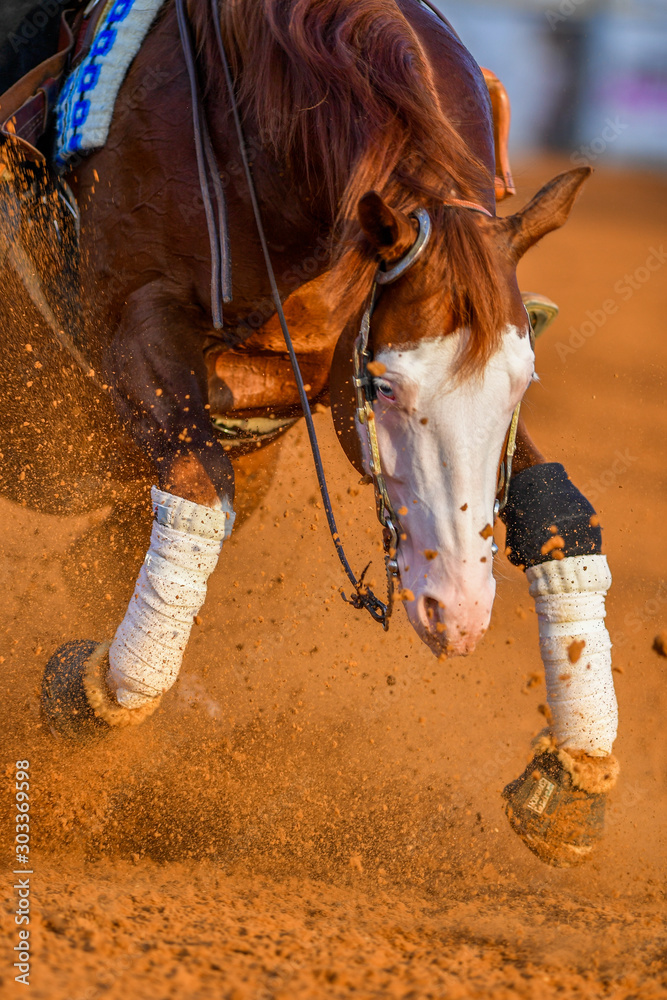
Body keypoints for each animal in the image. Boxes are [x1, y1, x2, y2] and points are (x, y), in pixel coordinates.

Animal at [0, 0, 619, 867]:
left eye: (520, 384)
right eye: (385, 385)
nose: (458, 612)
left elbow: (555, 510)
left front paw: (574, 774)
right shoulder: (138, 336)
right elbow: (199, 497)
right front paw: (90, 693)